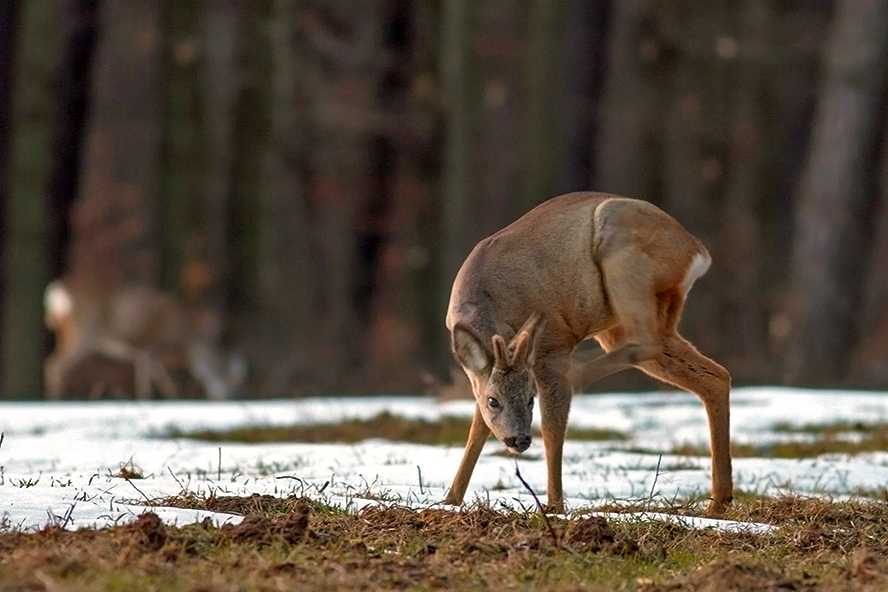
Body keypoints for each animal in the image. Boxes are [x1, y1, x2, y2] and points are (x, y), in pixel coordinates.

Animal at [43, 278, 241, 400]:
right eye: (225, 371)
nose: (228, 396)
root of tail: (56, 292)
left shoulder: (149, 352)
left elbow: (165, 383)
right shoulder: (149, 345)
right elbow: (146, 385)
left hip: (64, 334)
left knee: (53, 364)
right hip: (86, 332)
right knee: (56, 366)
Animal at [440, 193, 732, 512]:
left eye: (530, 400)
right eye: (493, 401)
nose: (520, 440)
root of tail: (698, 253)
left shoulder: (552, 344)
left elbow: (552, 427)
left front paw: (555, 506)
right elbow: (477, 429)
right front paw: (450, 499)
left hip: (625, 264)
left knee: (647, 342)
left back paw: (579, 372)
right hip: (632, 318)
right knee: (714, 375)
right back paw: (719, 502)